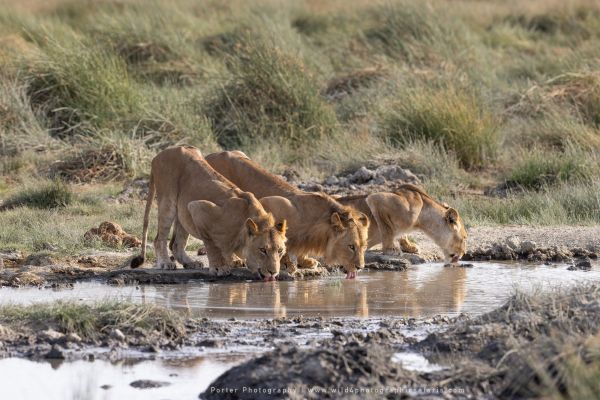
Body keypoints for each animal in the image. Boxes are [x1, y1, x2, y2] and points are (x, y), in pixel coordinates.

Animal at [131, 145, 288, 282]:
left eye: (280, 250)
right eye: (262, 250)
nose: (274, 272)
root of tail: (160, 154)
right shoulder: (197, 208)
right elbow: (211, 244)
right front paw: (219, 267)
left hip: (182, 210)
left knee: (176, 243)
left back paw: (190, 263)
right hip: (168, 202)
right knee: (159, 239)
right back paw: (166, 263)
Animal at [204, 150, 368, 278]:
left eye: (364, 246)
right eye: (351, 246)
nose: (360, 267)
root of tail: (209, 155)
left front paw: (305, 261)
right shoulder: (268, 204)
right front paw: (286, 264)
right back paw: (234, 259)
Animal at [336, 186, 466, 264]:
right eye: (464, 238)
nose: (464, 254)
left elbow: (402, 234)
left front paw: (409, 247)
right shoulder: (376, 199)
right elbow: (387, 229)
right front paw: (391, 249)